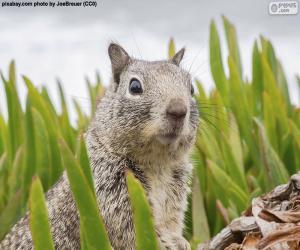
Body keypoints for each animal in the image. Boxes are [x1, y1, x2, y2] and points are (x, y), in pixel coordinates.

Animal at [0, 43, 199, 250]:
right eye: (135, 86)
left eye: (192, 88)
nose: (178, 110)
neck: (157, 164)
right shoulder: (112, 196)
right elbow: (135, 233)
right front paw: (166, 243)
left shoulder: (175, 197)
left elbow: (171, 222)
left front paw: (180, 240)